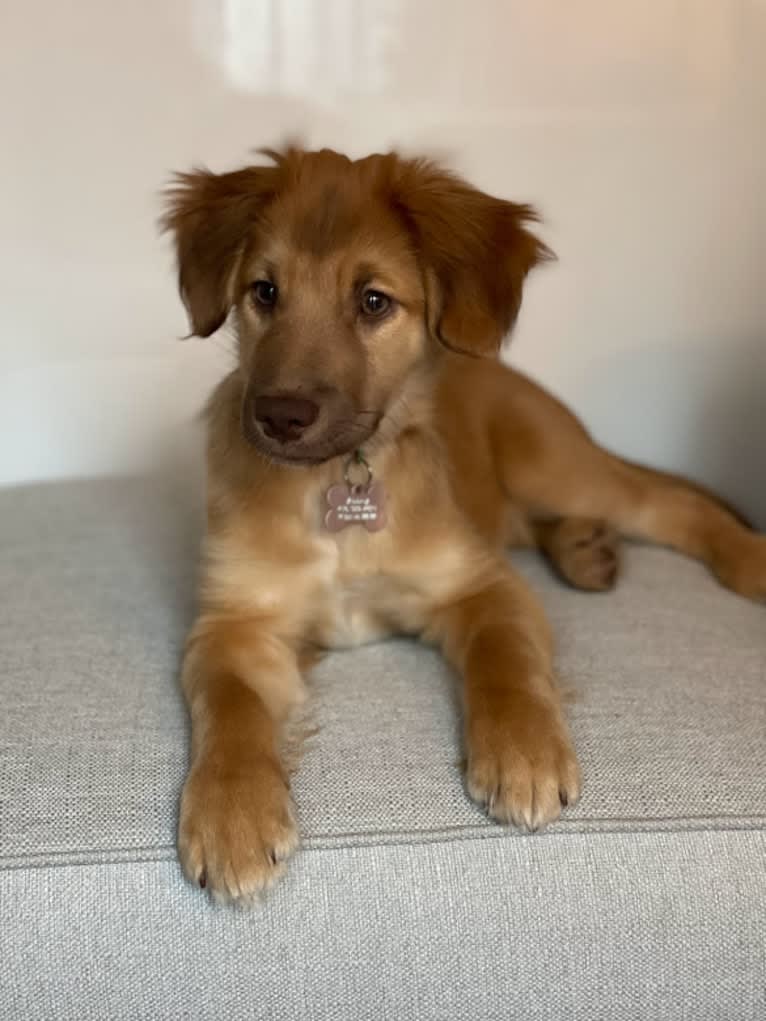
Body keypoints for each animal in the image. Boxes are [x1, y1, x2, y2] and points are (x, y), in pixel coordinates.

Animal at [162, 146, 766, 902]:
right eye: (264, 292)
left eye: (373, 301)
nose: (279, 417)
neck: (340, 488)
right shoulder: (234, 624)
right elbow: (232, 705)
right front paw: (231, 813)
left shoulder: (482, 584)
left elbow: (505, 660)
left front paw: (524, 750)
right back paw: (586, 549)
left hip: (555, 465)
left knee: (673, 505)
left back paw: (745, 560)